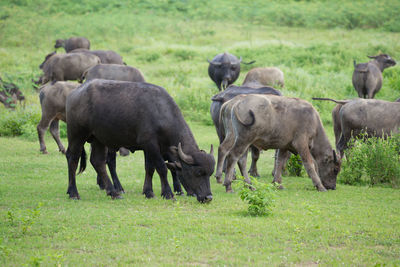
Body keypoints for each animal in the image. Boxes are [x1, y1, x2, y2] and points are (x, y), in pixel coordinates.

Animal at [65, 79, 216, 203]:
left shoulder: (149, 147)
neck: (160, 112)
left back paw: (113, 192)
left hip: (98, 139)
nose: (208, 197)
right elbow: (161, 168)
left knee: (98, 162)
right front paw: (168, 193)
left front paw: (148, 192)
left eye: (210, 173)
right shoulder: (150, 144)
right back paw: (74, 193)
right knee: (73, 158)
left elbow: (149, 168)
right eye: (198, 173)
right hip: (77, 134)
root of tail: (74, 93)